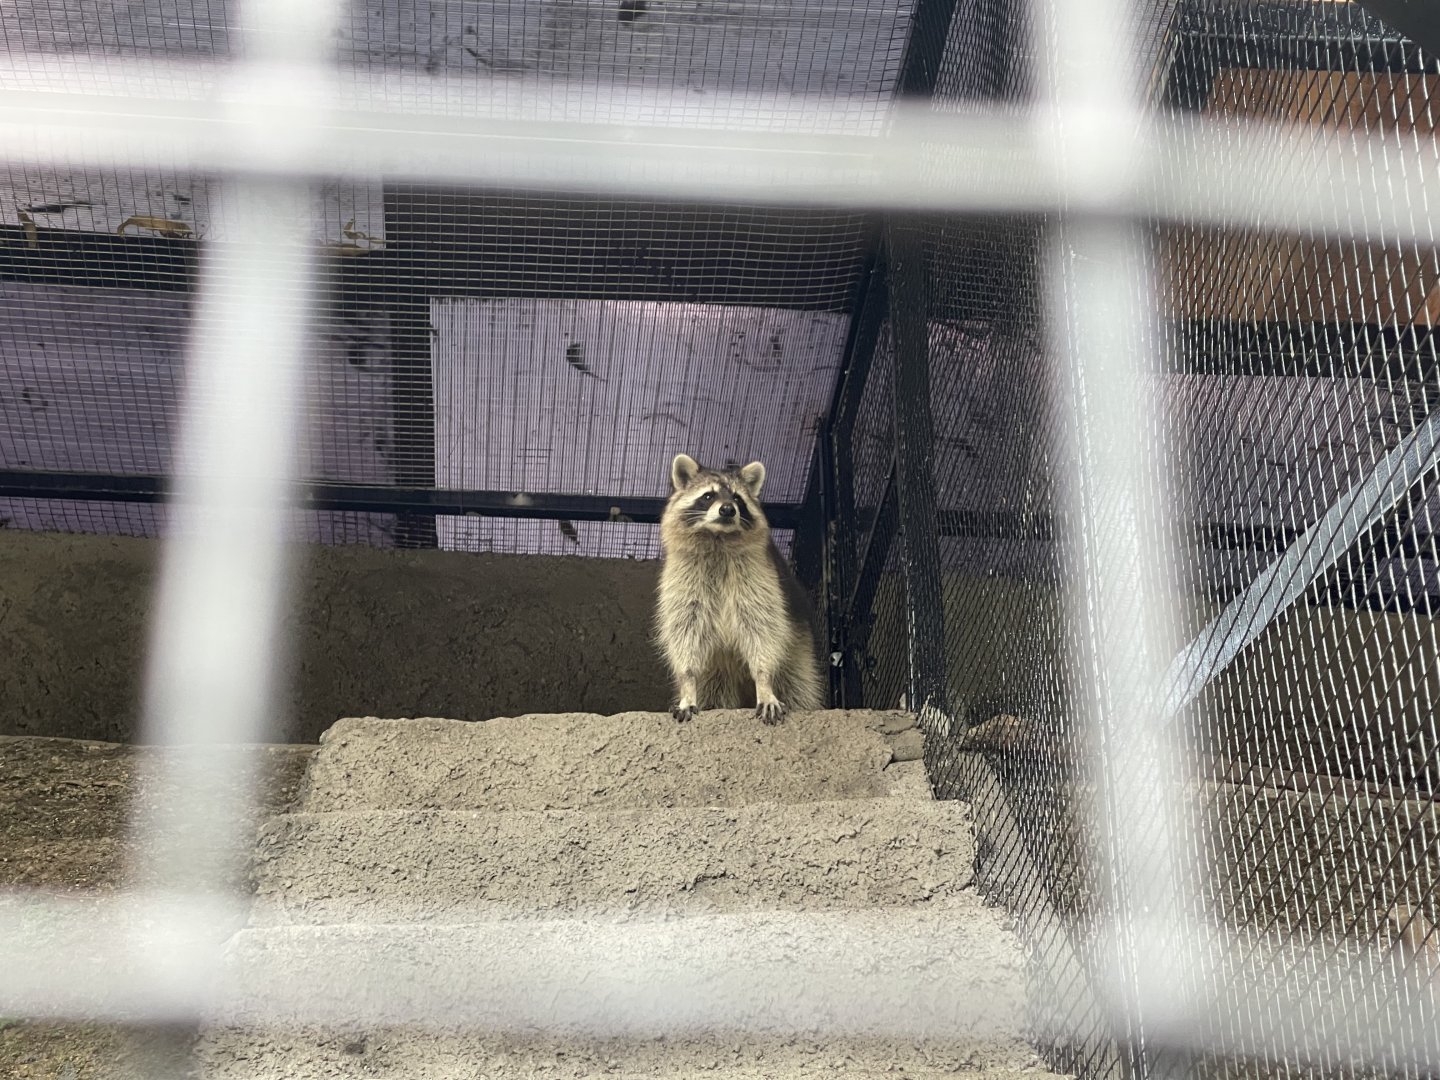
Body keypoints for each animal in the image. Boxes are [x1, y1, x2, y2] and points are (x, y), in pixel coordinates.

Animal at [655, 453, 825, 724]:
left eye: (737, 498)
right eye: (708, 496)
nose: (727, 509)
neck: (718, 538)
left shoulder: (759, 579)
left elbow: (763, 631)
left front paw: (765, 684)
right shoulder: (683, 582)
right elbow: (686, 634)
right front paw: (688, 687)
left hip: (800, 652)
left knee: (798, 684)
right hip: (718, 671)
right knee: (714, 689)